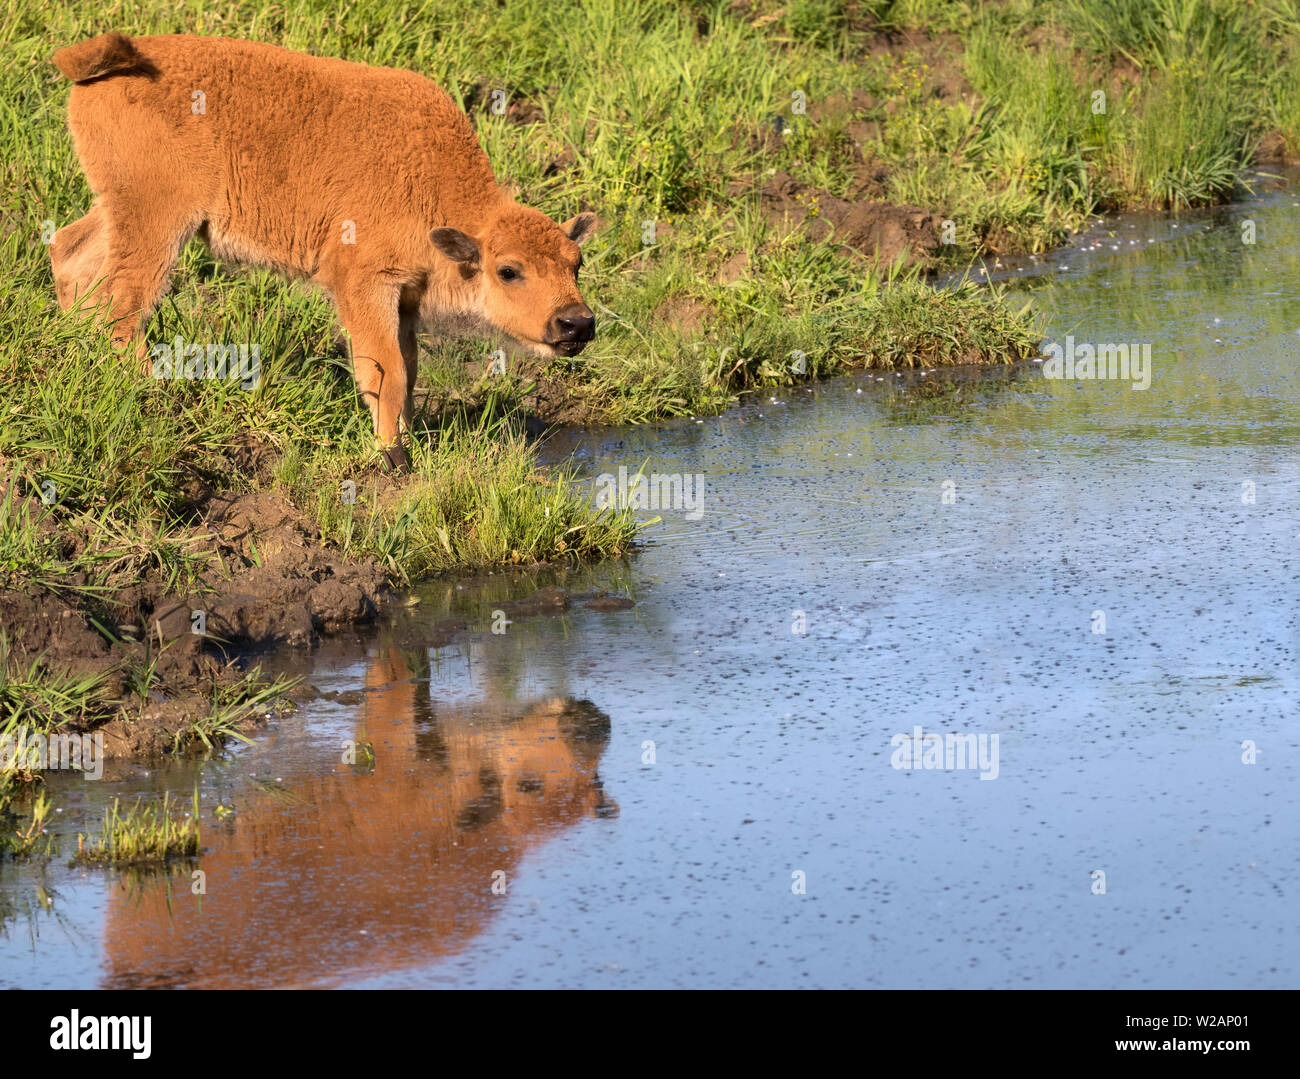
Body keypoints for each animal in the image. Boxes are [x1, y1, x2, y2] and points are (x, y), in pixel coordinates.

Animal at [49, 32, 598, 467]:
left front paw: (409, 439)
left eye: (577, 263)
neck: (432, 182)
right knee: (124, 303)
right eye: (508, 270)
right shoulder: (366, 284)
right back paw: (151, 387)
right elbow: (385, 369)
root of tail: (124, 56)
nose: (577, 324)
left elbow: (408, 369)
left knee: (72, 253)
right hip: (158, 220)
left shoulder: (405, 301)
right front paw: (393, 456)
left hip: (121, 208)